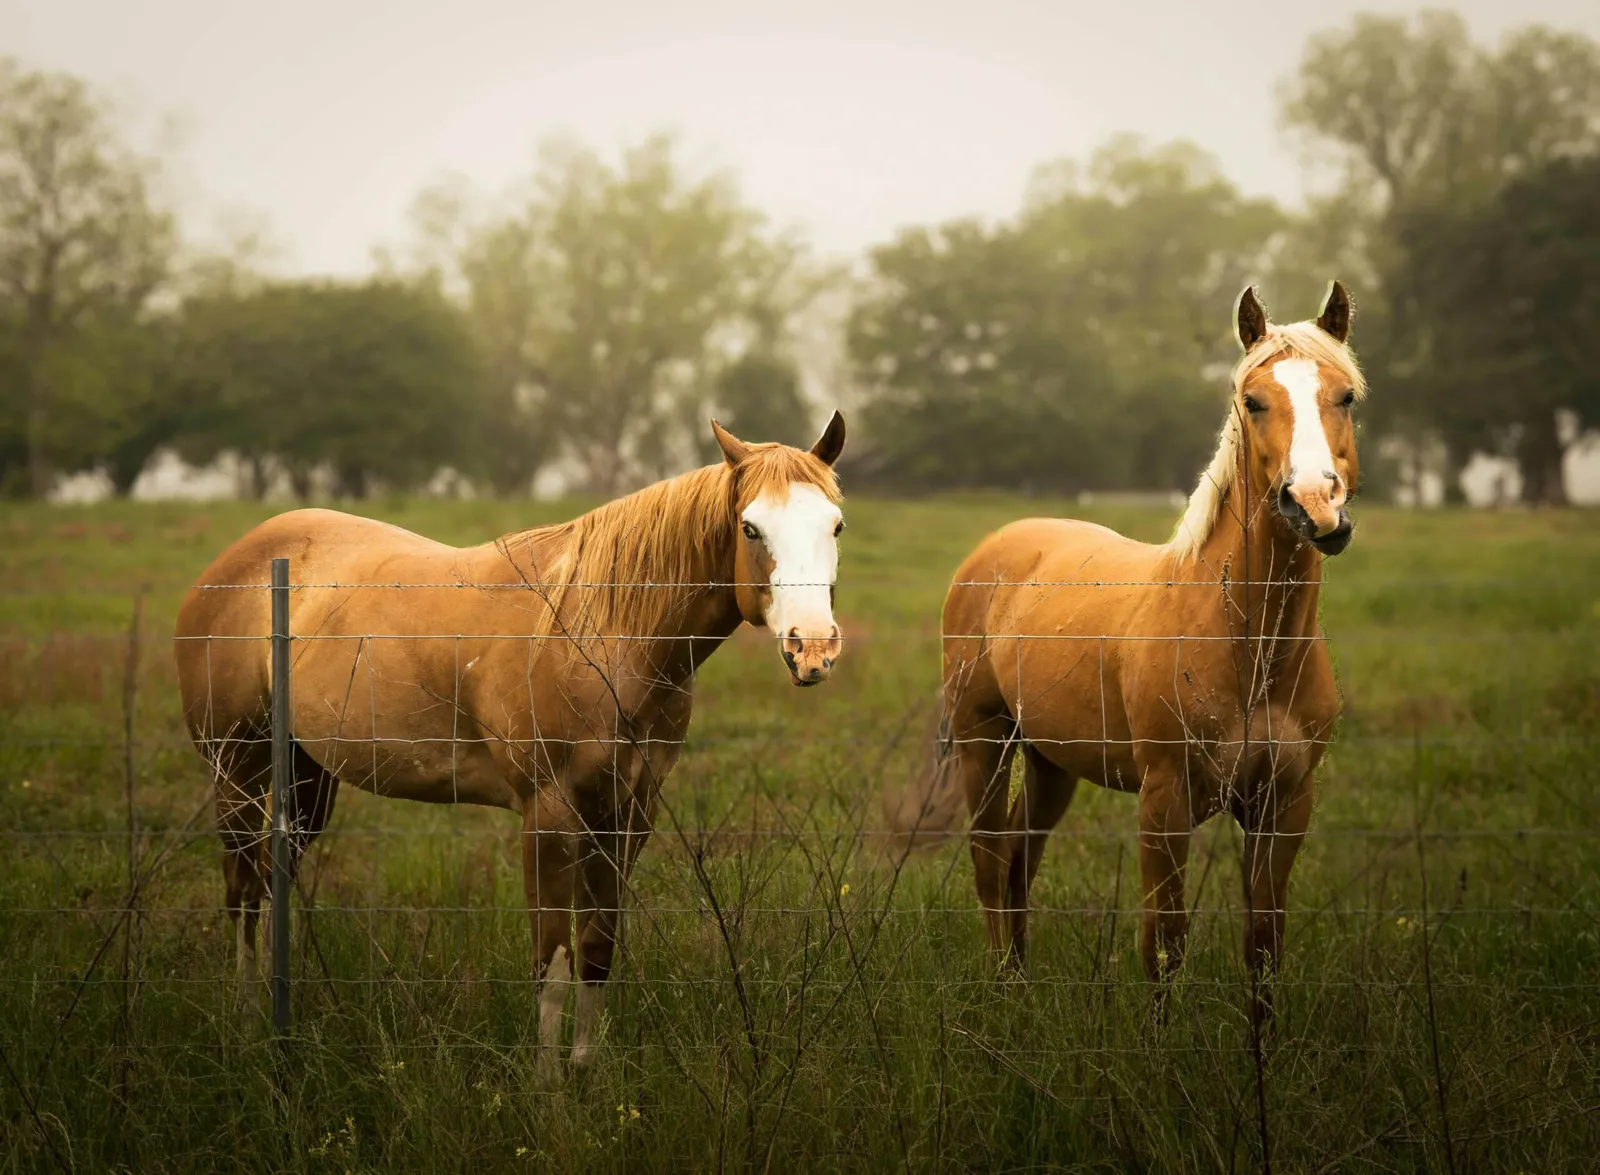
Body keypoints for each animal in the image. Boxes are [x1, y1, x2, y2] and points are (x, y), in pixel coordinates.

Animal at [174, 413, 848, 1069]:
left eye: (836, 525)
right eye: (750, 528)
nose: (812, 647)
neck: (600, 634)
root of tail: (227, 569)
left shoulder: (626, 813)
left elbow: (596, 950)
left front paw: (585, 1076)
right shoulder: (549, 815)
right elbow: (552, 963)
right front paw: (549, 1089)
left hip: (307, 776)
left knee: (270, 881)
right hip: (238, 770)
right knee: (242, 891)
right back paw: (248, 1023)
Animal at [931, 282, 1364, 1010]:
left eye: (1347, 396)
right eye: (1254, 400)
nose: (1314, 504)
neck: (1249, 646)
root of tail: (998, 547)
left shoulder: (1285, 804)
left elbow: (1264, 945)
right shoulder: (1165, 801)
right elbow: (1163, 946)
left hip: (1051, 761)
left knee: (1019, 859)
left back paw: (1021, 985)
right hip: (983, 740)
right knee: (991, 861)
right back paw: (1005, 997)